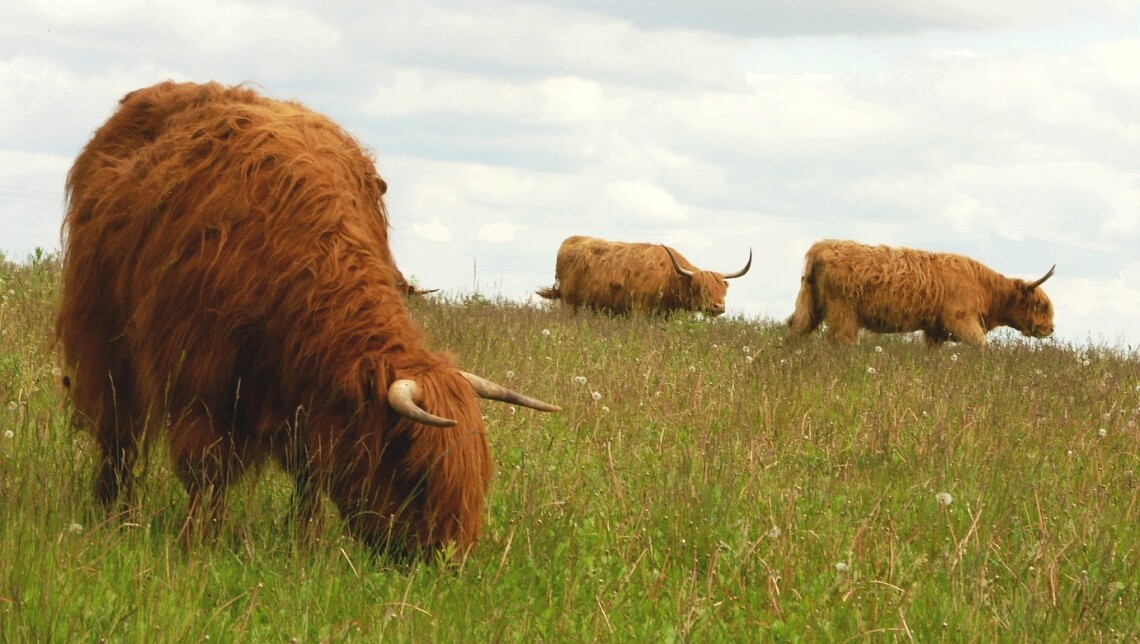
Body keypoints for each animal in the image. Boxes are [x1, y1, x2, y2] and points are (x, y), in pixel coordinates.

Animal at [53, 80, 560, 553]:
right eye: (416, 475)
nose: (446, 558)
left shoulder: (312, 406)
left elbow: (311, 479)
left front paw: (306, 545)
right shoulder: (199, 379)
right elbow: (206, 470)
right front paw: (199, 542)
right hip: (104, 340)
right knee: (117, 435)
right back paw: (112, 509)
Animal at [538, 235, 752, 316]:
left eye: (723, 291)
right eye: (703, 289)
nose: (719, 306)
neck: (670, 278)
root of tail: (571, 240)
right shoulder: (640, 310)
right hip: (568, 303)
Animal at [788, 238, 1053, 346]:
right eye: (1041, 306)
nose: (1051, 328)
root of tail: (821, 246)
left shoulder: (935, 331)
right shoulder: (962, 321)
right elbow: (981, 345)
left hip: (810, 304)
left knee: (795, 327)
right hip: (843, 312)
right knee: (841, 341)